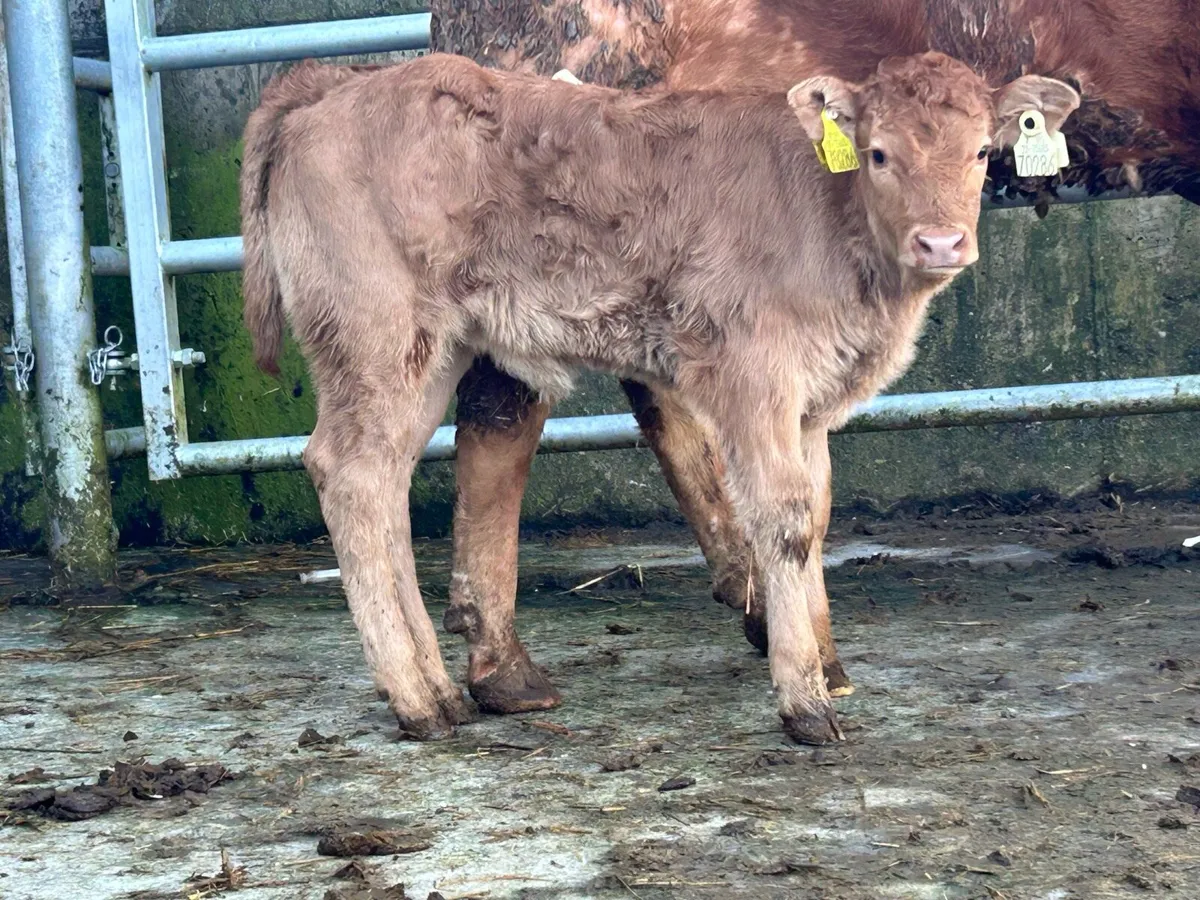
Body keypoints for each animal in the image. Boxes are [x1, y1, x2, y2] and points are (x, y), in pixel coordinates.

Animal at [240, 48, 1079, 743]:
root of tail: (335, 84)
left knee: (386, 482)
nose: (941, 242)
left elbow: (816, 516)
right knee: (348, 473)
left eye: (981, 152)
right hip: (374, 335)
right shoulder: (755, 378)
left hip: (430, 350)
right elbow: (782, 517)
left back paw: (445, 690)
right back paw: (416, 700)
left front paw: (825, 659)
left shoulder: (811, 401)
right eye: (877, 153)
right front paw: (803, 699)